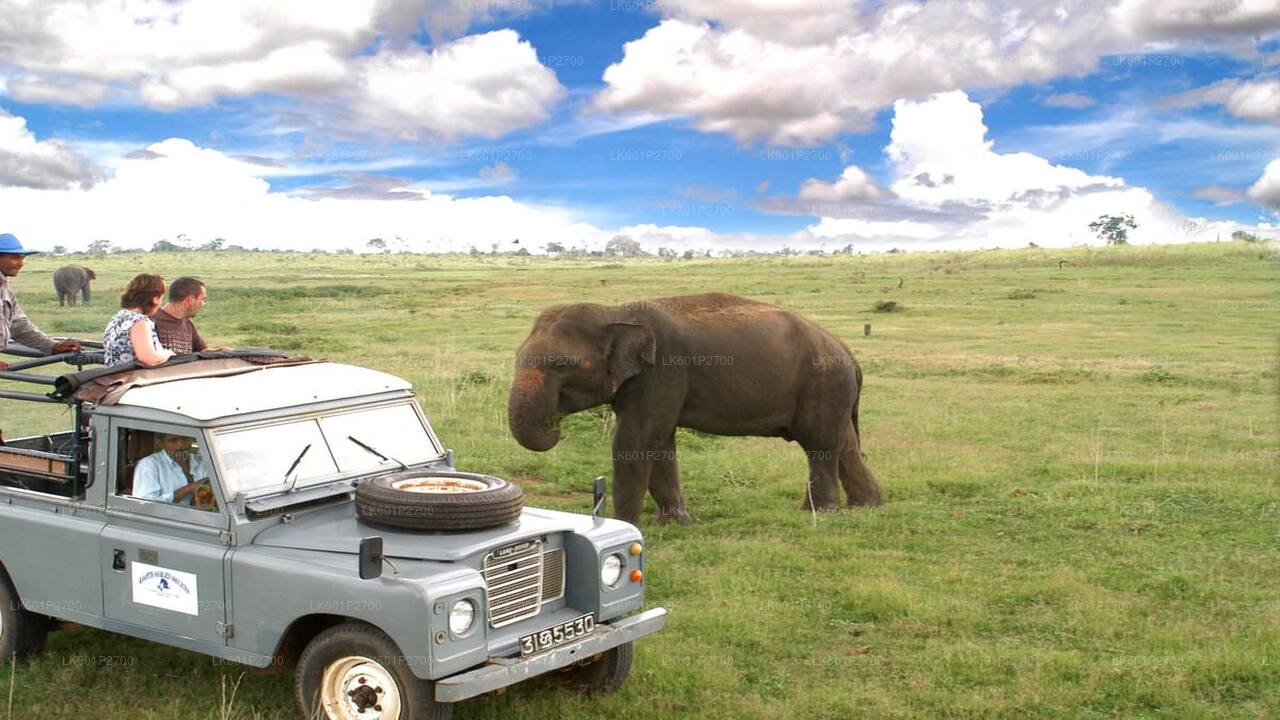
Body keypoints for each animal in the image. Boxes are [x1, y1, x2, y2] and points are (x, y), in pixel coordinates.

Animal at [506, 292, 880, 520]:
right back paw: (867, 506)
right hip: (834, 394)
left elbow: (636, 440)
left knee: (819, 444)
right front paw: (673, 522)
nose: (554, 422)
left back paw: (818, 513)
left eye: (561, 364)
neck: (617, 312)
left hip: (823, 385)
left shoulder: (663, 371)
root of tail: (849, 354)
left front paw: (625, 526)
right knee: (844, 444)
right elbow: (660, 441)